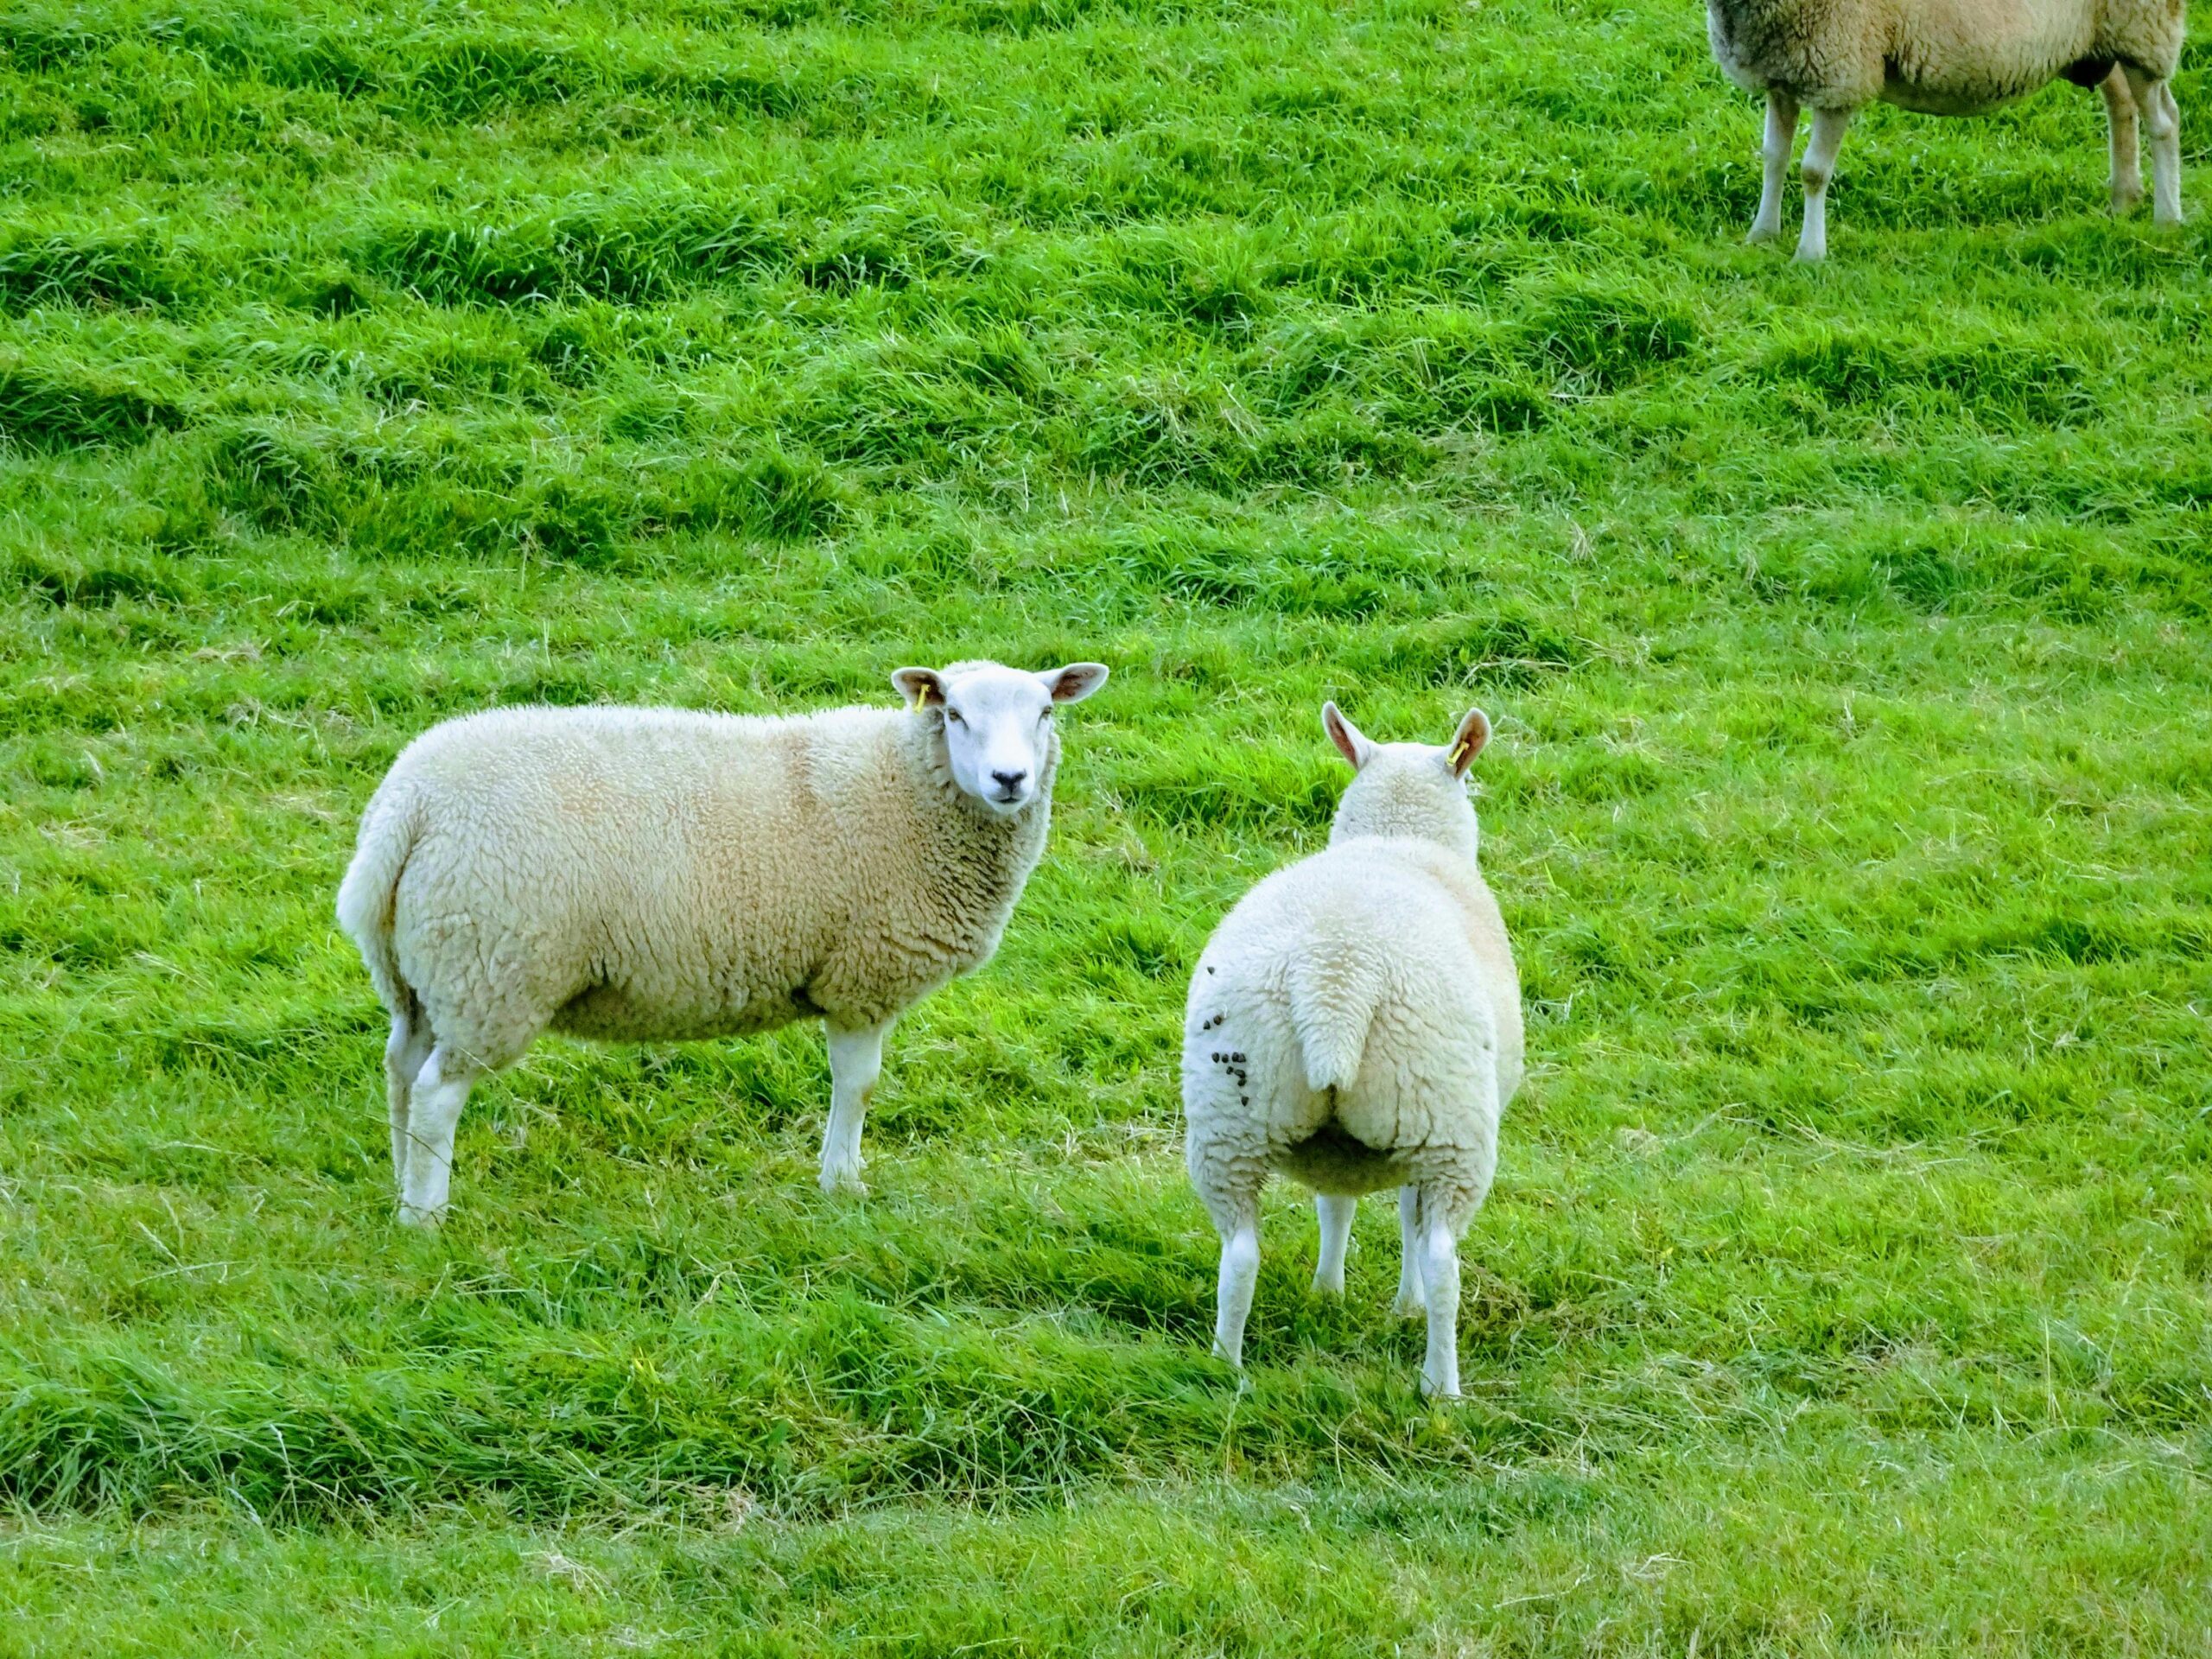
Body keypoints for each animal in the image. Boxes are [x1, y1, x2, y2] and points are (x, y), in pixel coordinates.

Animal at [334, 654, 1106, 1230]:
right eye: (954, 715)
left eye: (1044, 713)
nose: (1011, 779)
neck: (906, 788)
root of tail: (409, 803)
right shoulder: (863, 977)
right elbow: (858, 1086)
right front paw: (843, 1186)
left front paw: (839, 1180)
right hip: (493, 968)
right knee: (437, 1093)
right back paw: (426, 1219)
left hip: (419, 971)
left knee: (401, 1070)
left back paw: (402, 1188)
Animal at [1185, 703, 1530, 1407]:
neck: (1399, 839)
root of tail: (1336, 979)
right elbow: (1407, 1222)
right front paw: (1404, 1306)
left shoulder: (1334, 1147)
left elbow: (1334, 1204)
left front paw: (1327, 1293)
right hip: (1446, 1117)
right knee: (1443, 1256)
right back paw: (1441, 1387)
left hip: (1226, 1120)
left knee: (1239, 1253)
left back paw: (1224, 1368)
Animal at [1699, 0, 2185, 259]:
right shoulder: (1782, 73)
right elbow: (1774, 159)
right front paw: (1762, 234)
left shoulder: (1842, 71)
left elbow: (1813, 172)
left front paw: (1810, 253)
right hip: (2104, 42)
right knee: (2122, 107)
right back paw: (2124, 201)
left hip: (2145, 29)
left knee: (2164, 121)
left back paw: (2167, 218)